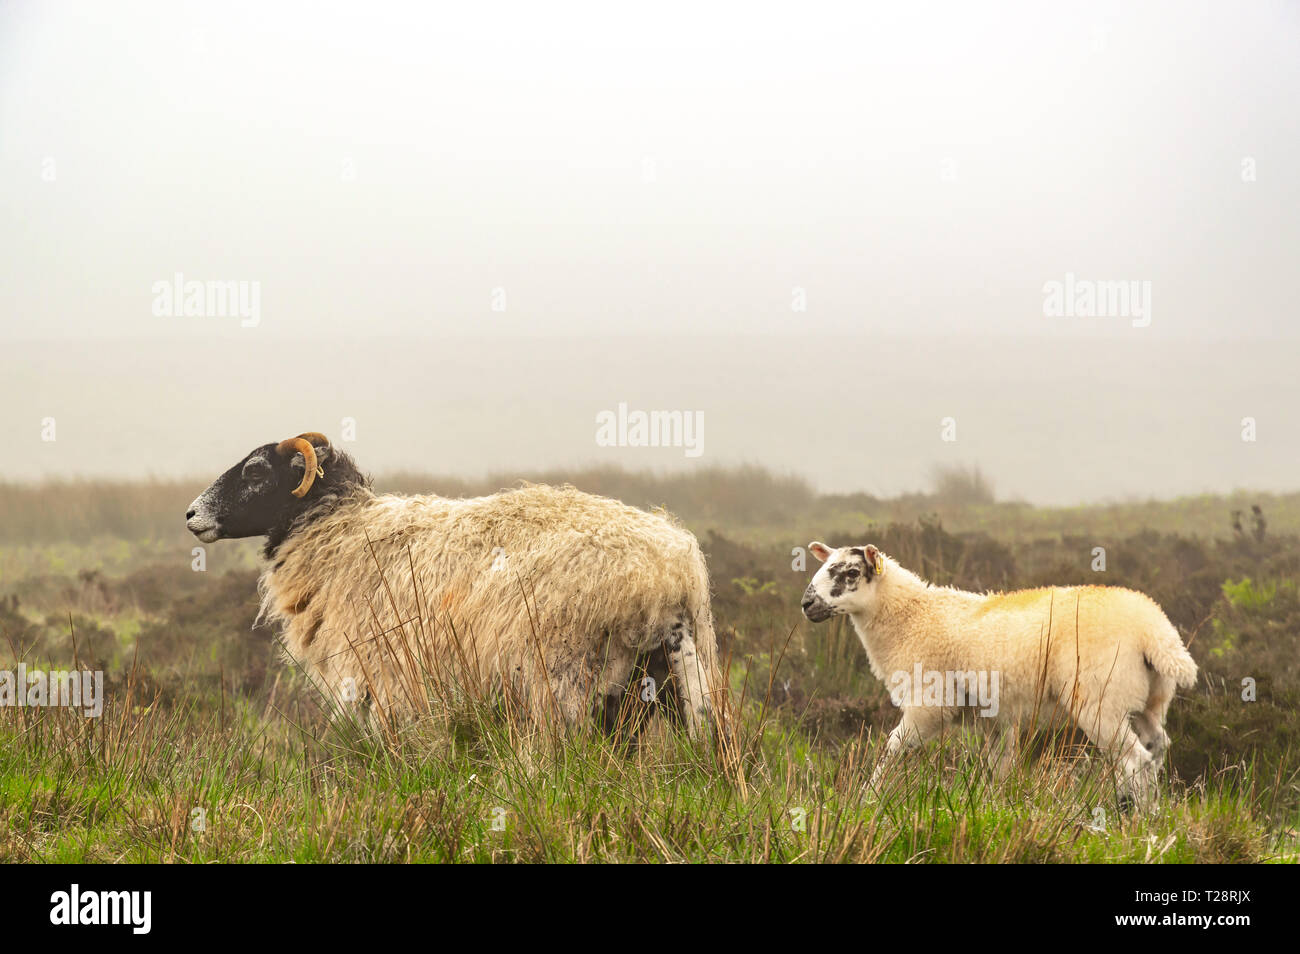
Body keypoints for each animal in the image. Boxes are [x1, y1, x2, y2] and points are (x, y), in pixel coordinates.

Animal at [184, 434, 722, 738]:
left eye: (255, 470)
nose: (190, 515)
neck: (340, 530)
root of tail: (670, 572)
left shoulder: (380, 677)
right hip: (668, 683)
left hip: (567, 678)